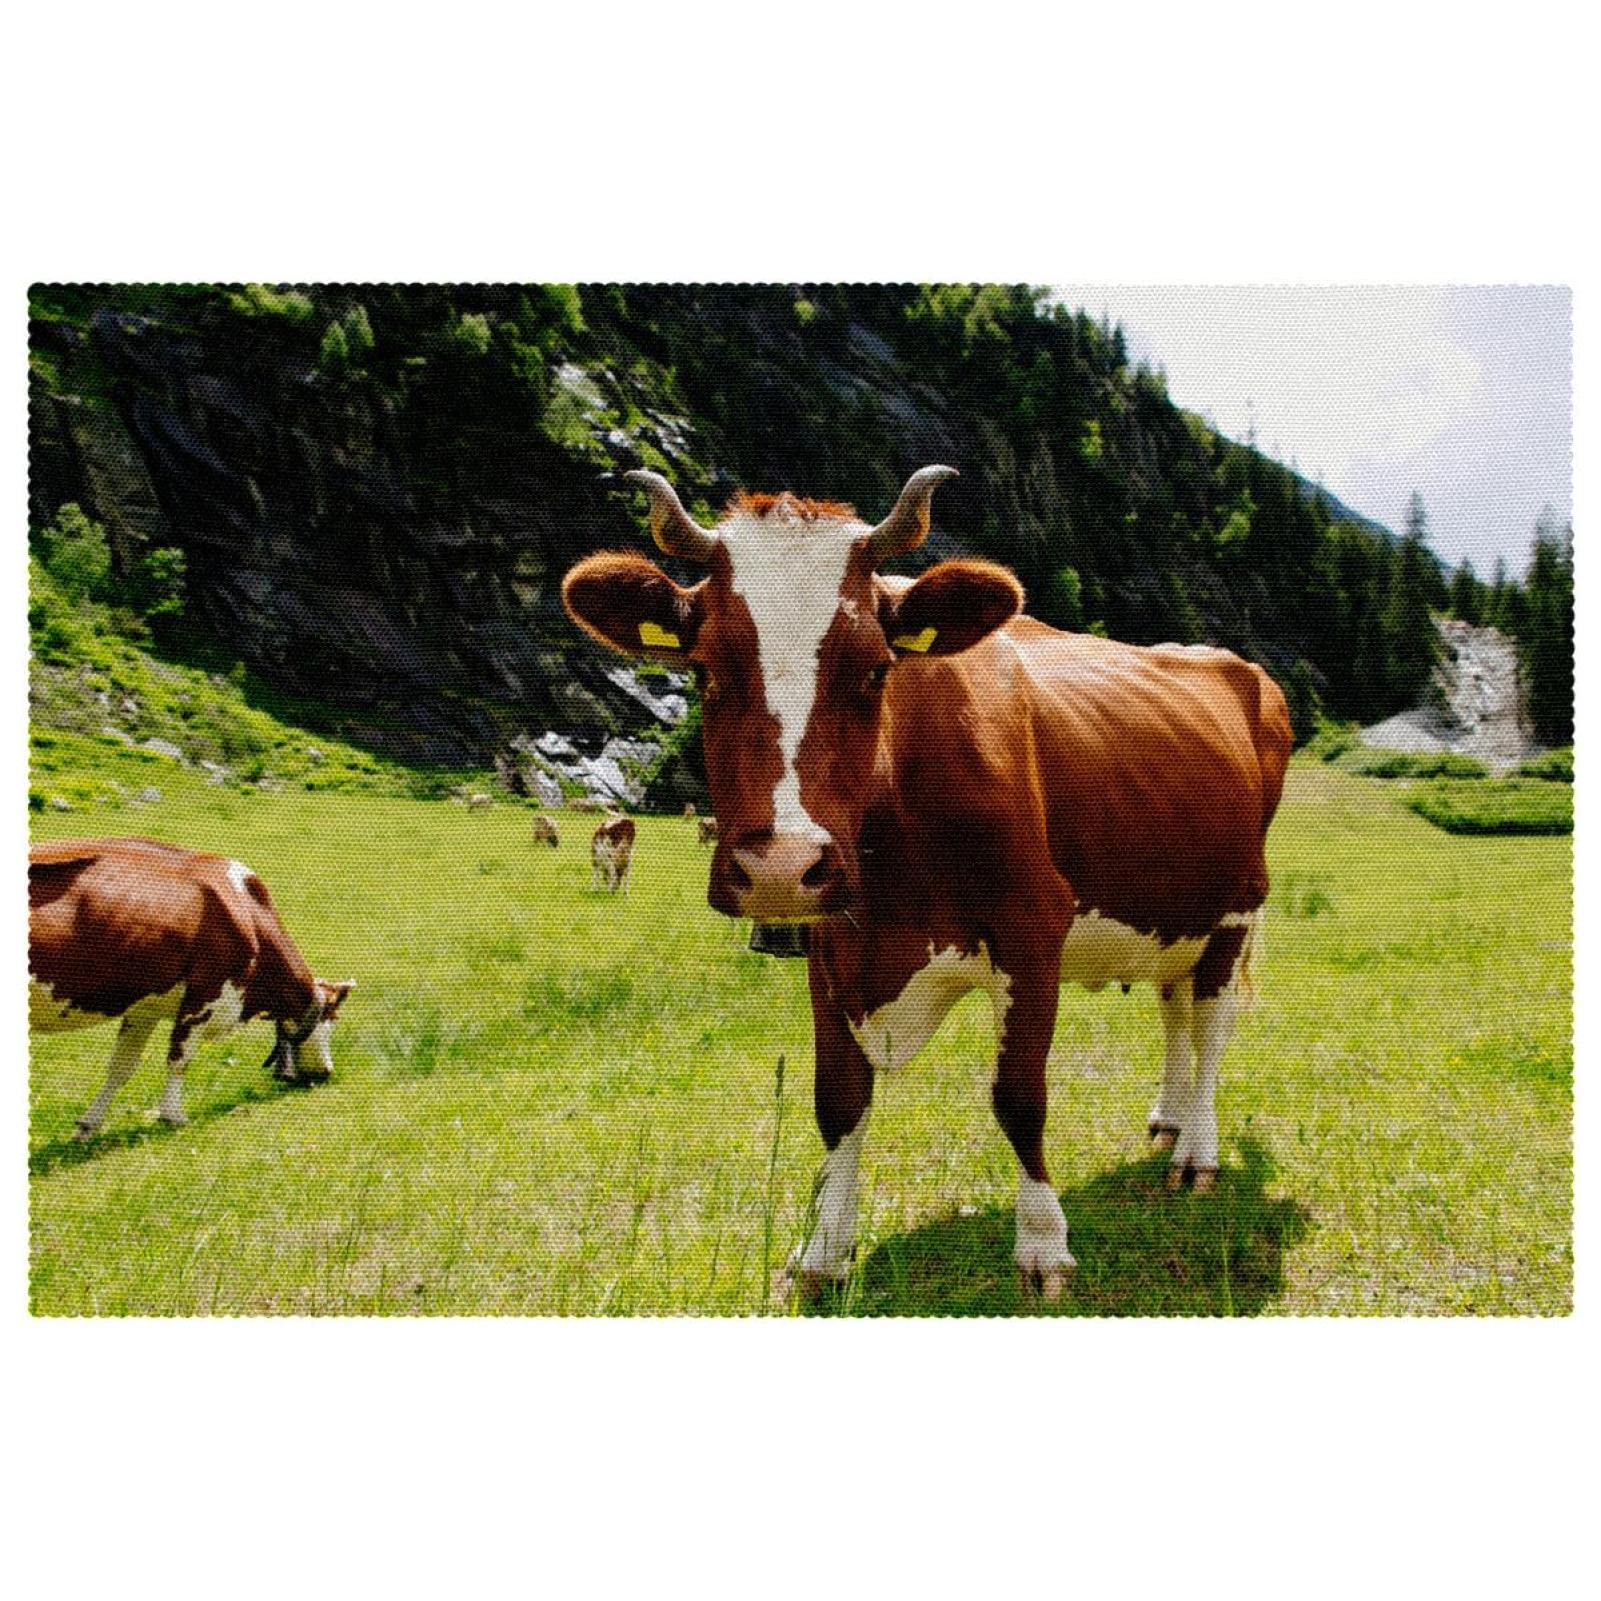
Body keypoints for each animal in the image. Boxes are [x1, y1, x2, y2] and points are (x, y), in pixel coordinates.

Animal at [29, 837, 355, 1139]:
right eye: (334, 1021)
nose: (327, 1072)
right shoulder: (206, 997)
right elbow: (179, 1060)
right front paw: (173, 1116)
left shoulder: (145, 1006)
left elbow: (122, 1065)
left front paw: (89, 1125)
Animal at [563, 466, 1291, 1300]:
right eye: (705, 668)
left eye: (876, 668)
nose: (780, 865)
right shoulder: (828, 942)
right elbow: (837, 1099)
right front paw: (822, 1249)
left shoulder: (1031, 927)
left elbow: (1019, 1096)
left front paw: (1042, 1243)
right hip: (1173, 915)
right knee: (1174, 1011)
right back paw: (1168, 1118)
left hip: (1237, 906)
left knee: (1209, 1028)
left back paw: (1195, 1150)